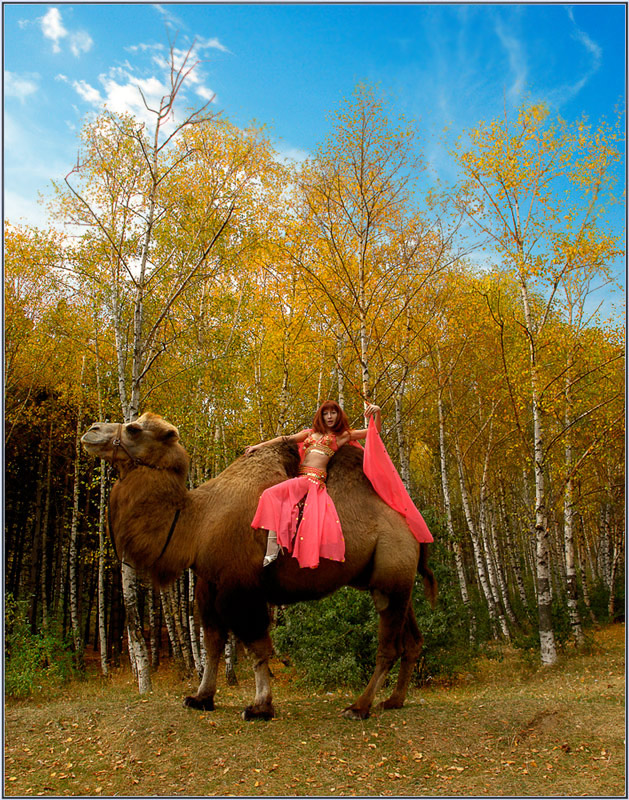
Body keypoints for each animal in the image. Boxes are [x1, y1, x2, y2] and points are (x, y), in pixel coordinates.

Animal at [82, 412, 436, 720]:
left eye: (133, 429)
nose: (91, 430)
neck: (197, 522)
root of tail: (416, 533)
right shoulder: (209, 585)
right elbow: (212, 642)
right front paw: (200, 698)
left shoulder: (241, 587)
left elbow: (256, 646)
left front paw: (259, 707)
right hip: (390, 582)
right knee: (412, 640)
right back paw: (393, 700)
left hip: (391, 573)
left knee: (389, 646)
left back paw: (358, 707)